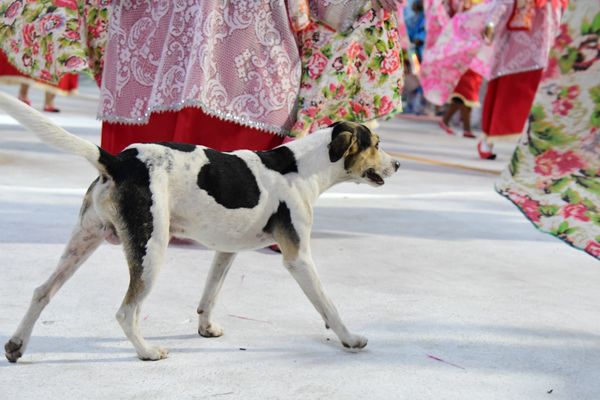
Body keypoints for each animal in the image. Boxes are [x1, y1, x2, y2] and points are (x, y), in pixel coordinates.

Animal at [2, 92, 400, 360]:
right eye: (377, 144)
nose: (397, 165)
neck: (303, 167)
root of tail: (118, 160)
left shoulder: (226, 250)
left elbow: (210, 295)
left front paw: (205, 328)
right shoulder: (298, 258)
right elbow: (328, 305)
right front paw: (350, 338)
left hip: (83, 241)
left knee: (42, 292)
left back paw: (17, 345)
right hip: (151, 251)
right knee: (126, 312)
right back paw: (147, 351)